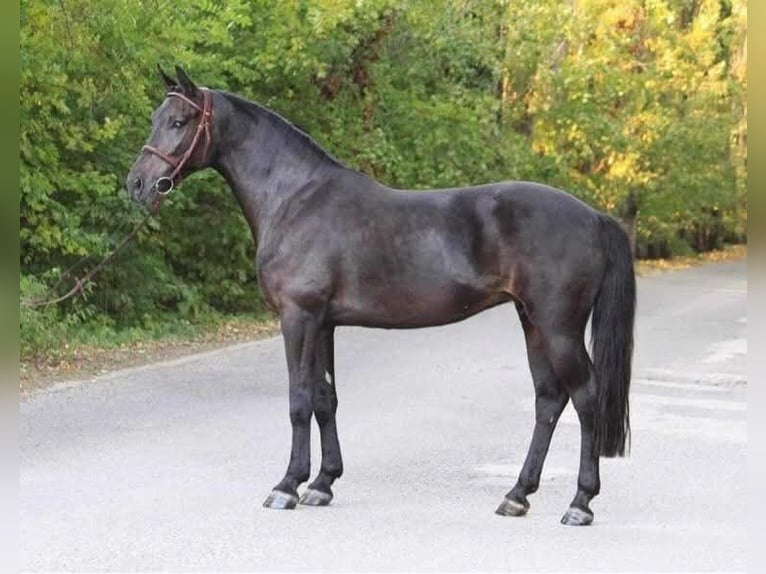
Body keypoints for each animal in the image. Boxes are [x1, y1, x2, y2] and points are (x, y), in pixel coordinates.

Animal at [126, 65, 635, 526]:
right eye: (155, 117)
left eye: (179, 121)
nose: (137, 184)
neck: (294, 199)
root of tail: (594, 216)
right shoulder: (324, 323)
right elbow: (325, 398)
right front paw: (322, 484)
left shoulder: (298, 317)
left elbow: (298, 399)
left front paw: (287, 486)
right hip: (532, 322)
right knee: (548, 400)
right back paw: (516, 496)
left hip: (558, 327)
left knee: (585, 397)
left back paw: (579, 503)